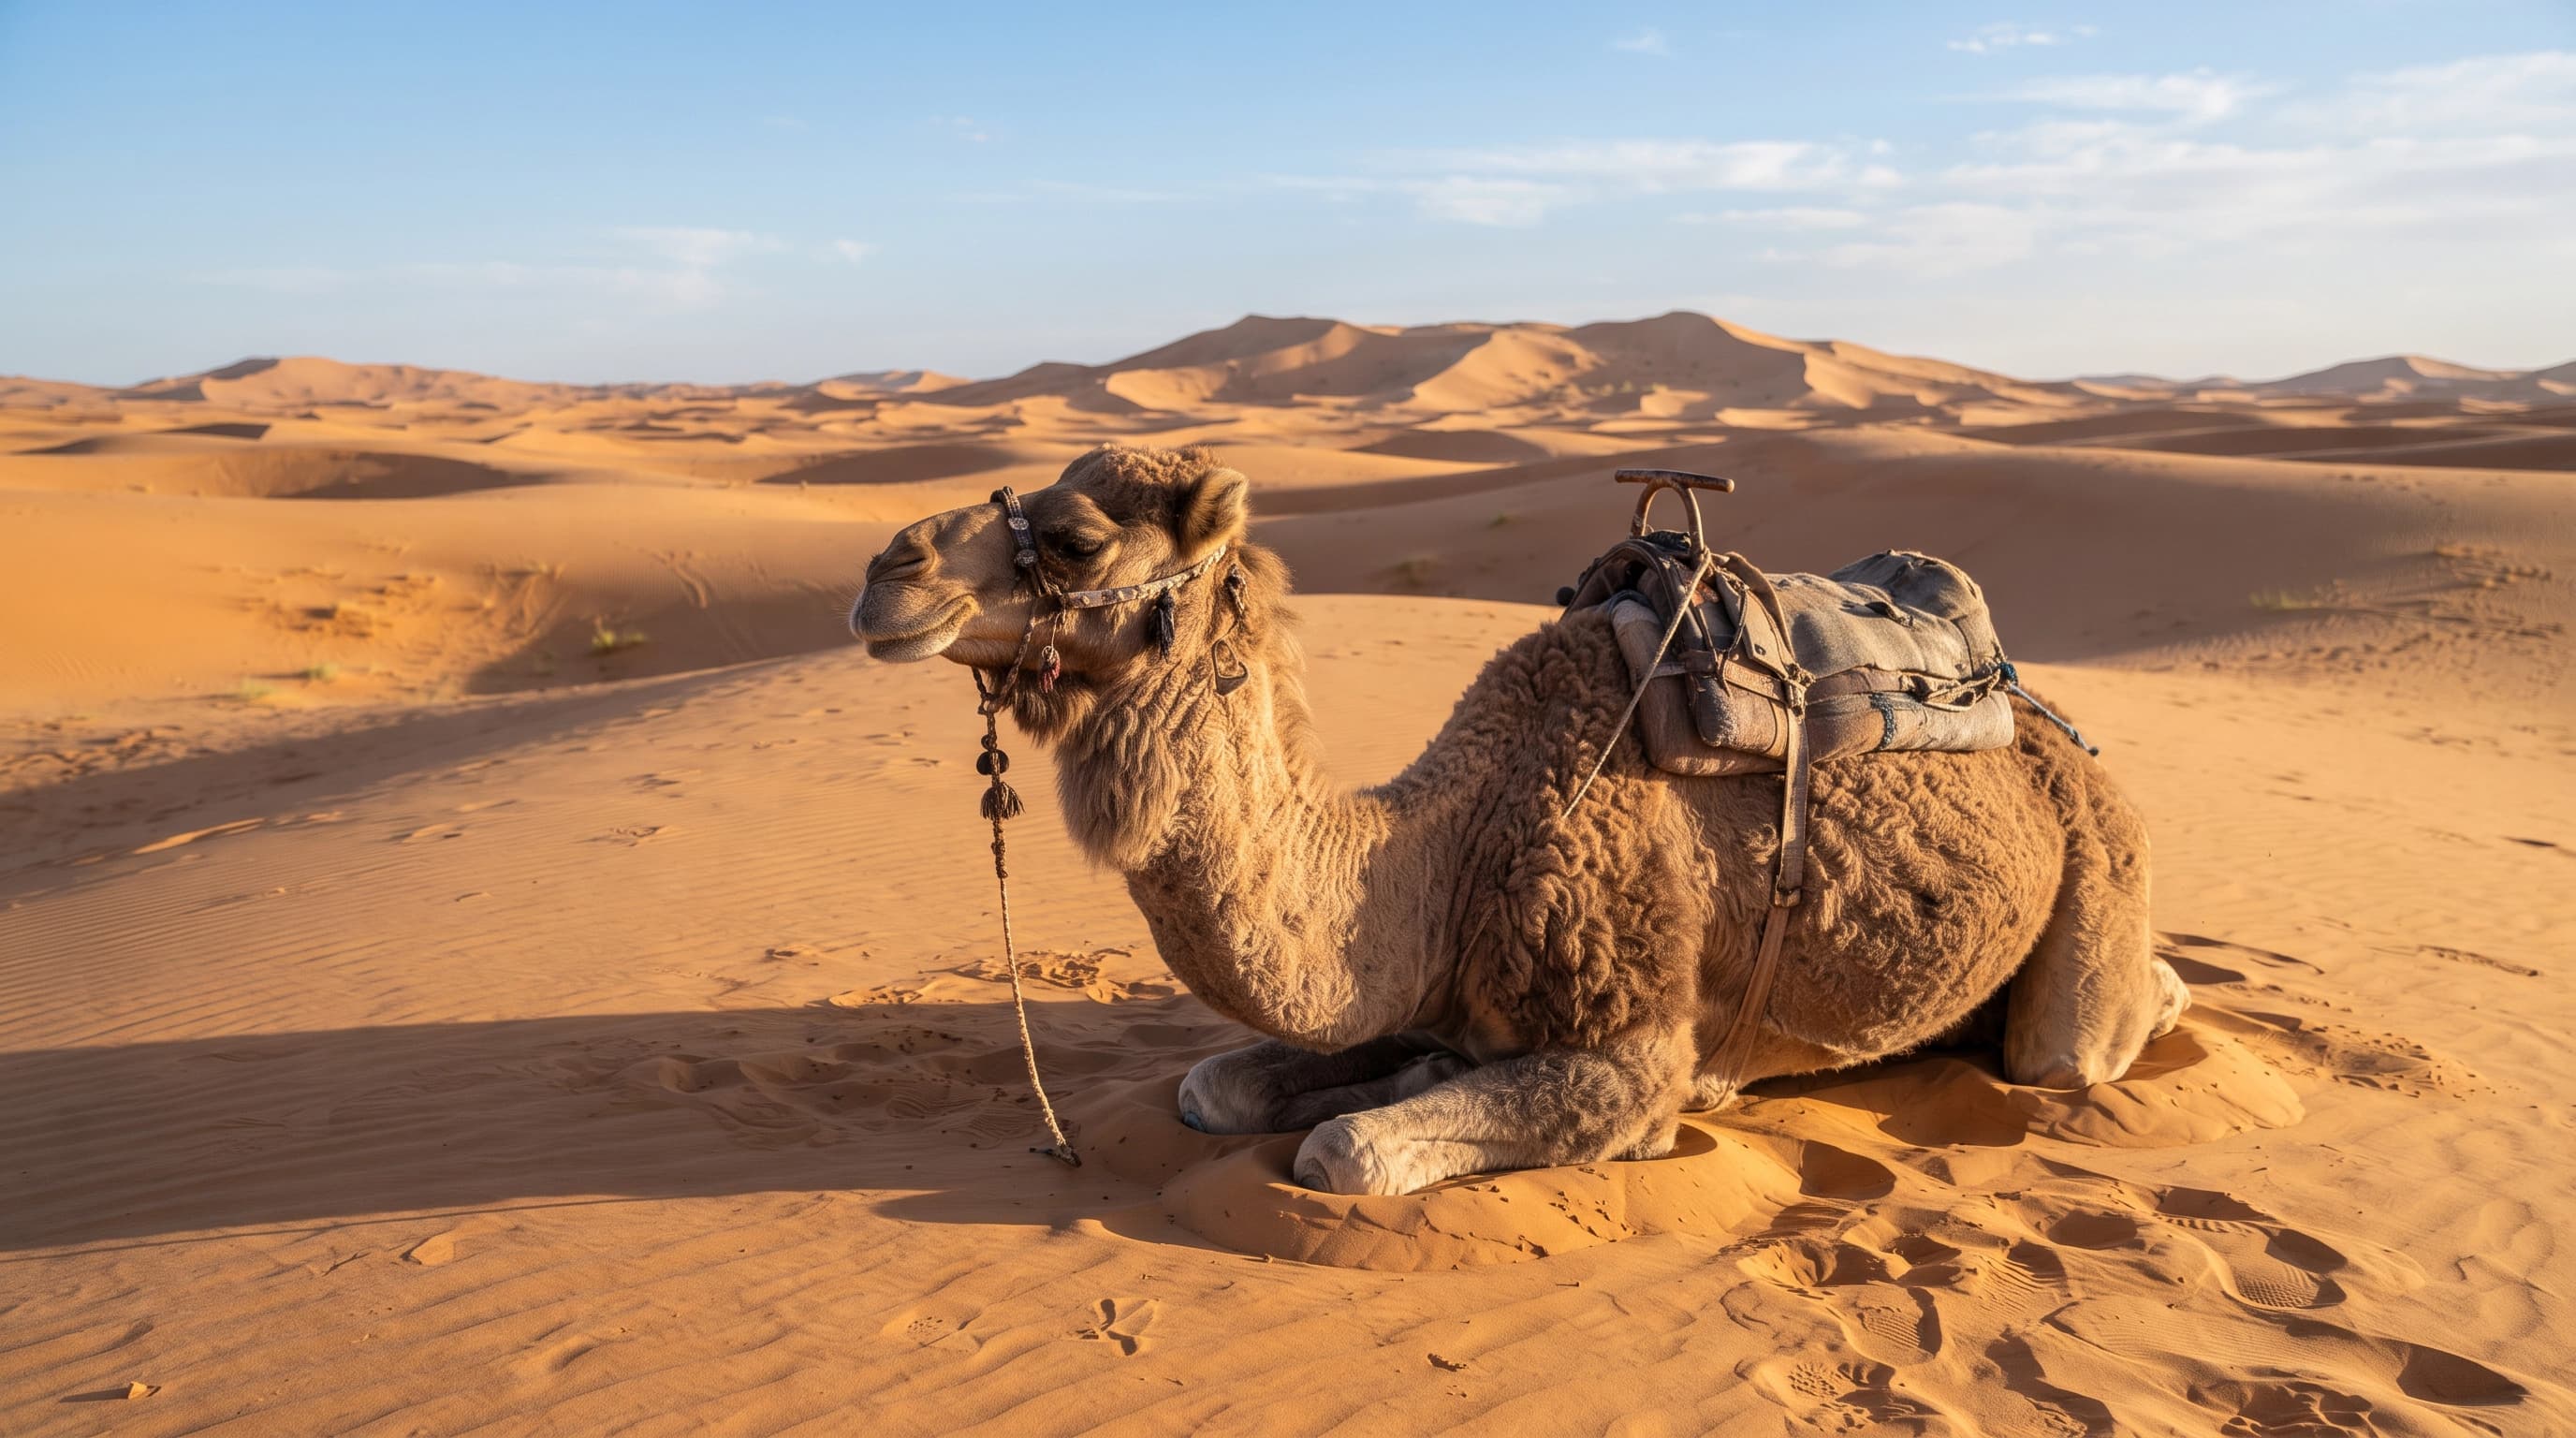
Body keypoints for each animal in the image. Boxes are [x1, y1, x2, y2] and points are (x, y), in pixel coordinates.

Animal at [851, 445, 2189, 1196]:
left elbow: (1347, 1152)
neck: (1447, 848)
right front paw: (1399, 1072)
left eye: (1078, 540)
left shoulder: (1631, 1047)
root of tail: (2048, 726)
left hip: (2100, 871)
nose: (884, 576)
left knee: (2075, 1046)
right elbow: (1214, 1086)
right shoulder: (1415, 982)